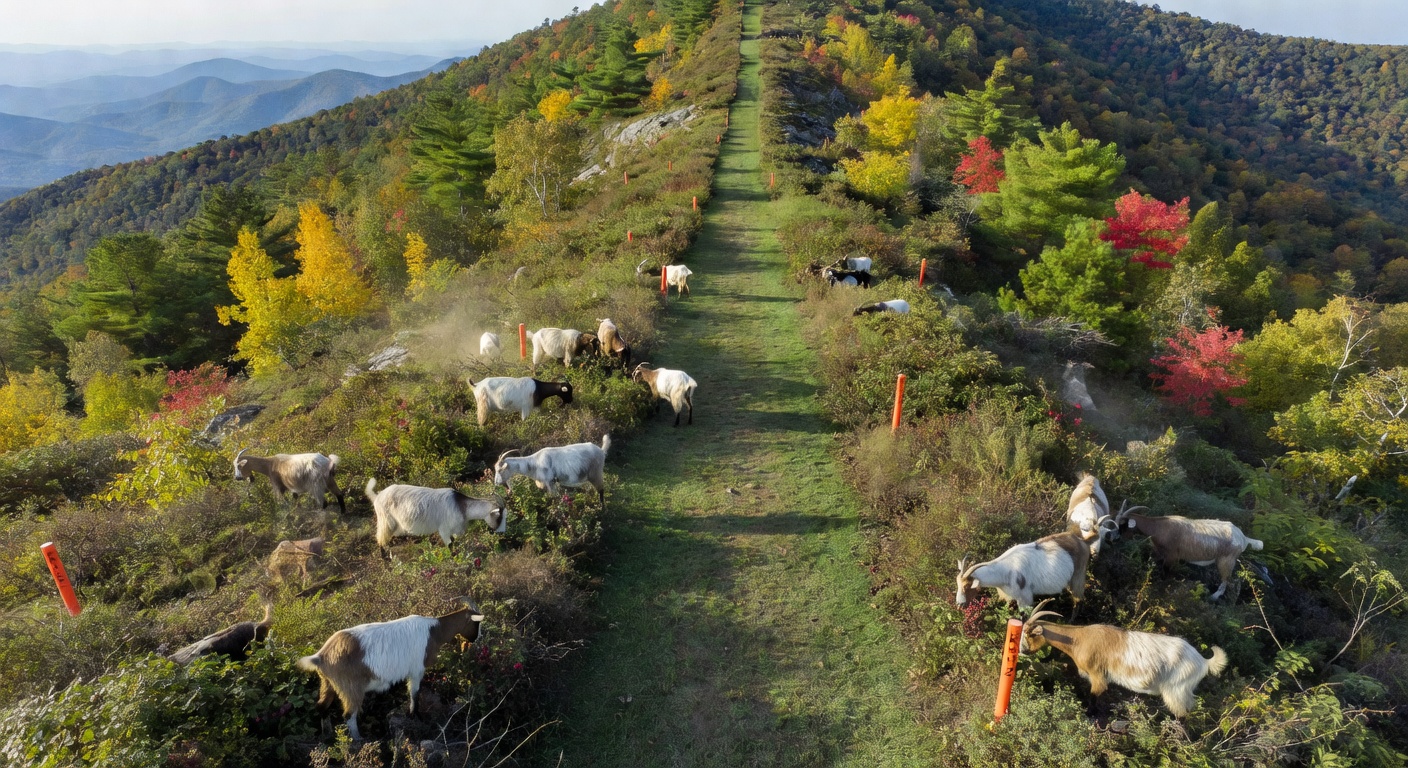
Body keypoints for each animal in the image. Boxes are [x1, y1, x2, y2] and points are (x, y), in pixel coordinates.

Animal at [297, 597, 485, 741]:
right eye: (477, 624)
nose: (476, 639)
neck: (434, 631)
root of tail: (321, 656)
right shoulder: (417, 670)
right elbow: (414, 694)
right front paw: (415, 716)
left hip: (328, 683)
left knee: (321, 707)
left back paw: (327, 735)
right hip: (350, 688)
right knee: (349, 715)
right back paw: (358, 740)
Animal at [365, 480, 505, 558]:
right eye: (499, 517)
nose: (501, 532)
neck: (461, 505)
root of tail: (377, 496)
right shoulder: (444, 529)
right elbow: (450, 546)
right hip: (385, 521)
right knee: (381, 540)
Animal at [955, 530, 1098, 615]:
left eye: (967, 586)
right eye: (957, 584)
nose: (959, 606)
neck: (1003, 571)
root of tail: (1083, 541)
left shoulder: (1025, 599)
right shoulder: (1008, 596)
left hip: (1078, 575)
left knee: (1078, 600)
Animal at [1020, 600, 1227, 717]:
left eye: (1029, 634)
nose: (1022, 650)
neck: (1079, 639)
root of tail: (1203, 661)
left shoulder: (1098, 676)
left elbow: (1094, 697)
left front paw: (1090, 716)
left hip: (1176, 689)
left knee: (1184, 713)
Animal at [1114, 506, 1264, 600]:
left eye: (1123, 524)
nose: (1115, 539)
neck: (1159, 527)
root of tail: (1243, 538)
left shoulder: (1171, 557)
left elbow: (1165, 575)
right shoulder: (1159, 553)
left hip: (1226, 561)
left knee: (1225, 582)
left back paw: (1212, 598)